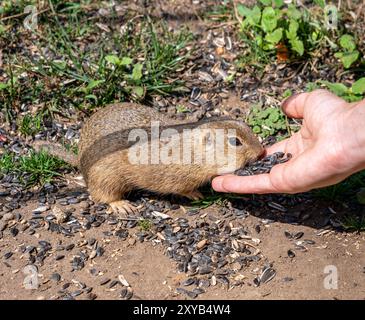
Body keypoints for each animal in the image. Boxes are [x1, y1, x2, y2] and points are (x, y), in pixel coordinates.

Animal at [35, 104, 264, 216]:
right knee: (102, 195)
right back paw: (122, 205)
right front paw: (197, 194)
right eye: (235, 141)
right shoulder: (177, 176)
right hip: (106, 178)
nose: (262, 153)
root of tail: (80, 159)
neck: (191, 149)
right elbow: (183, 189)